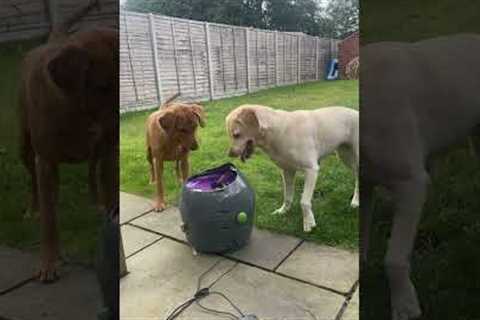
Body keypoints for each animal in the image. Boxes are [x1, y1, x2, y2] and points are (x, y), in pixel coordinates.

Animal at [19, 1, 119, 282]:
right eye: (102, 87)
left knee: (92, 171)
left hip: (97, 153)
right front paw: (49, 263)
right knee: (33, 182)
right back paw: (33, 208)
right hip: (24, 145)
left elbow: (111, 194)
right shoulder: (45, 161)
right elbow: (50, 222)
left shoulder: (109, 151)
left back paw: (96, 201)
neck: (77, 111)